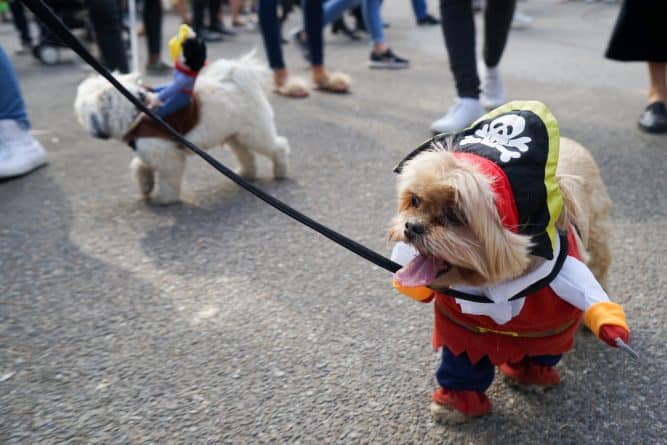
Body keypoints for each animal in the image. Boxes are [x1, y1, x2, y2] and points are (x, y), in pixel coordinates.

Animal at [75, 53, 290, 204]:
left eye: (84, 113)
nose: (92, 131)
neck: (137, 110)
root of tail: (238, 81)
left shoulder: (168, 156)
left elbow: (168, 179)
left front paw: (164, 199)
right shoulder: (154, 149)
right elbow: (140, 166)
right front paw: (145, 186)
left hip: (254, 134)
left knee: (277, 147)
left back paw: (280, 171)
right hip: (235, 136)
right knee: (246, 155)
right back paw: (246, 174)